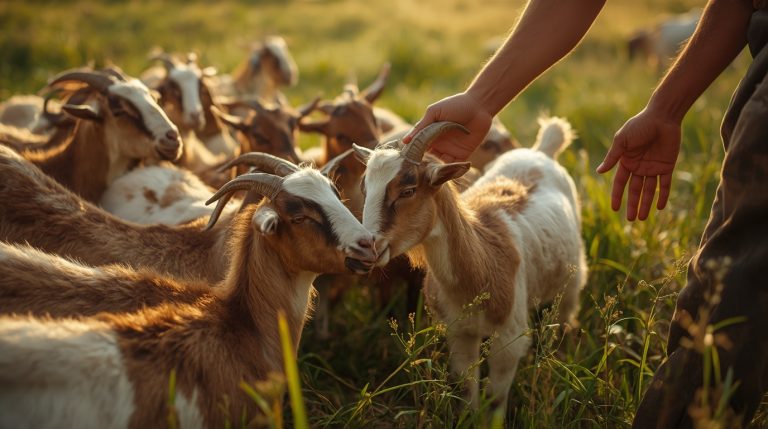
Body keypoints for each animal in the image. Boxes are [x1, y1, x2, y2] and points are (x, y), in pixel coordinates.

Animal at [354, 117, 587, 410]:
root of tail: (541, 150)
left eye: (408, 190)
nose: (367, 247)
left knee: (566, 316)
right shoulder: (460, 333)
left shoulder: (509, 341)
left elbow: (496, 399)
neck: (482, 263)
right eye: (365, 189)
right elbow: (467, 390)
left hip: (573, 279)